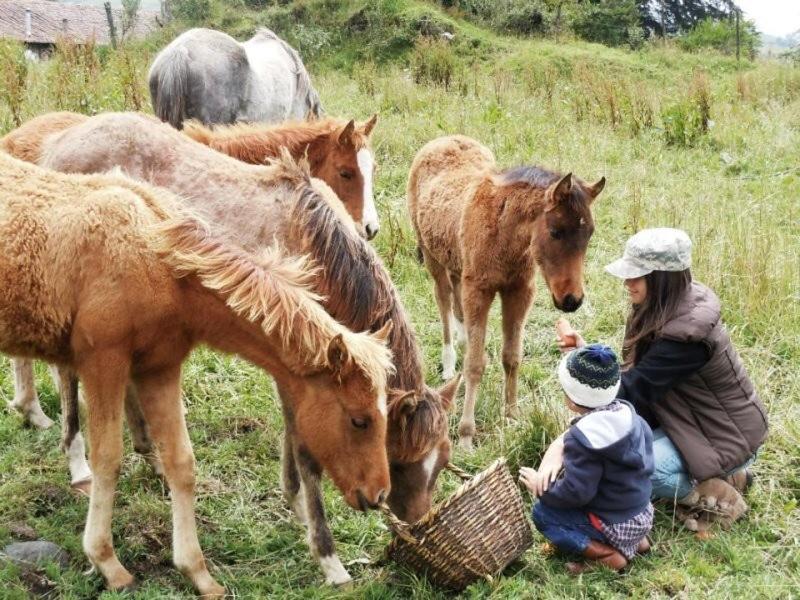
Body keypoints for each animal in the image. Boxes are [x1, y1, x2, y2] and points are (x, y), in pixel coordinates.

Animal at [410, 134, 604, 448]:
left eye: (589, 234)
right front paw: (466, 435)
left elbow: (511, 357)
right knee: (443, 301)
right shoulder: (480, 290)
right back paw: (450, 363)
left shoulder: (519, 291)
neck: (505, 235)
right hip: (432, 258)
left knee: (456, 300)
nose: (572, 300)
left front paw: (512, 416)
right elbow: (475, 364)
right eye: (556, 232)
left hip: (456, 264)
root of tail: (445, 139)